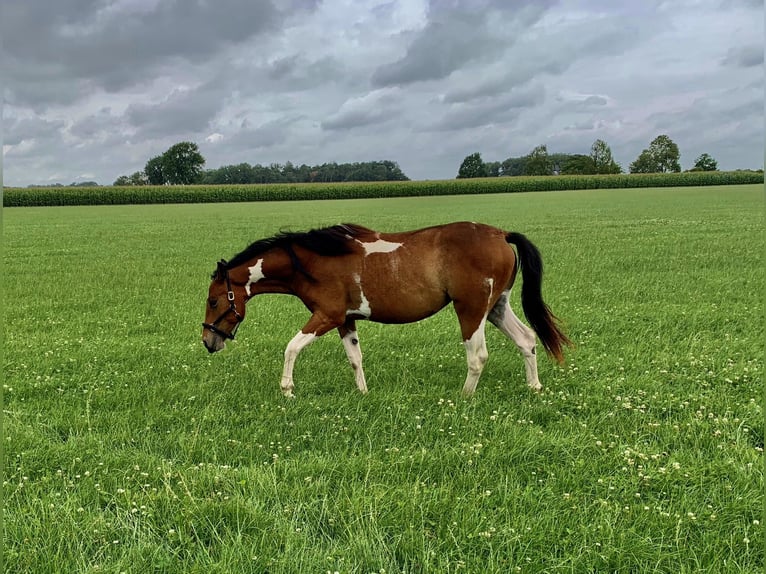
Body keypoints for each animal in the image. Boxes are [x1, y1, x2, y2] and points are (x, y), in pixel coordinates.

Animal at [204, 223, 568, 398]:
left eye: (213, 301)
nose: (209, 341)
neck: (314, 261)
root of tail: (500, 234)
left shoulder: (326, 316)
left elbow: (291, 347)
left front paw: (287, 390)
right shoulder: (346, 321)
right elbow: (355, 358)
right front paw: (363, 393)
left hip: (471, 310)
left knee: (478, 356)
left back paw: (464, 397)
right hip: (496, 308)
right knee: (527, 339)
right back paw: (534, 387)